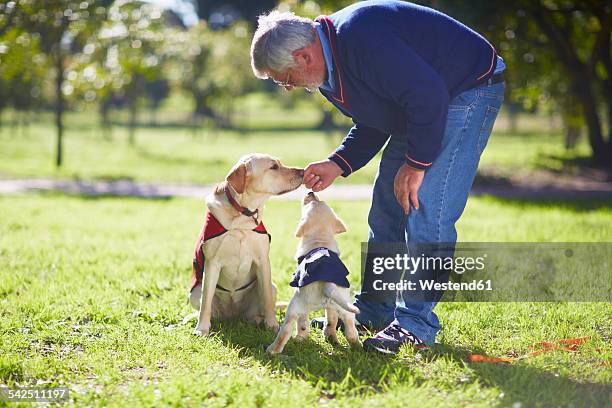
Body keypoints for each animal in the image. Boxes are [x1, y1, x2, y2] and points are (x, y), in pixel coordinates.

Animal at [266, 191, 360, 354]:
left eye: (309, 202)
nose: (311, 192)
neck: (320, 240)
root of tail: (327, 283)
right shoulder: (333, 308)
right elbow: (331, 320)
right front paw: (331, 336)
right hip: (343, 305)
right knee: (349, 329)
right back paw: (356, 346)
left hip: (294, 306)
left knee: (288, 329)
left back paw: (274, 349)